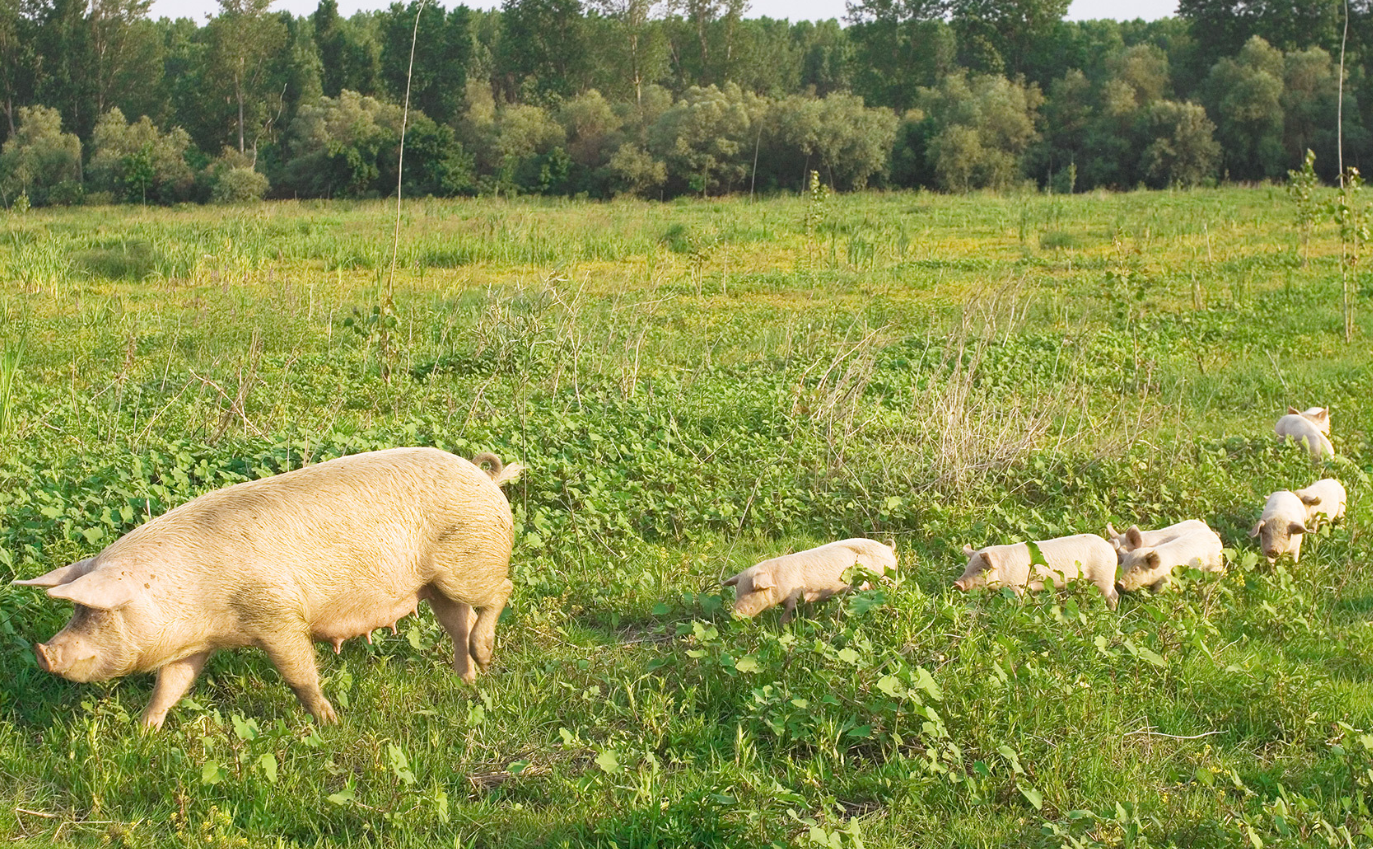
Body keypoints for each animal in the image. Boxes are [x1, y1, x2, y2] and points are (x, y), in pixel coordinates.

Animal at [13, 450, 521, 725]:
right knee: (457, 624)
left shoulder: (276, 615)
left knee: (501, 592)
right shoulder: (193, 645)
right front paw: (144, 730)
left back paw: (485, 656)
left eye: (100, 612)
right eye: (76, 612)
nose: (42, 651)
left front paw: (329, 721)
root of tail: (486, 476)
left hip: (469, 565)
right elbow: (171, 686)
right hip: (435, 585)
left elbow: (299, 673)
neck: (193, 597)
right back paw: (469, 679)